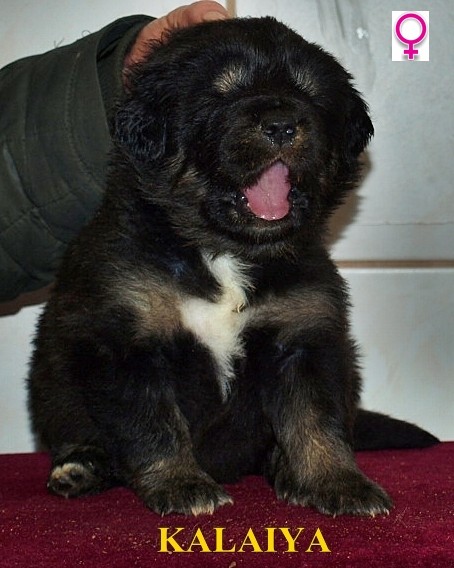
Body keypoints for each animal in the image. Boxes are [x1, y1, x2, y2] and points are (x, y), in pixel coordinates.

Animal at [28, 17, 437, 517]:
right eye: (222, 93)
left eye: (310, 94)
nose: (282, 125)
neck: (225, 253)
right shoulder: (128, 340)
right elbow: (154, 423)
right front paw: (181, 484)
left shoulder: (303, 336)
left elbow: (318, 421)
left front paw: (338, 482)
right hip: (52, 384)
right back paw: (81, 466)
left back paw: (284, 470)